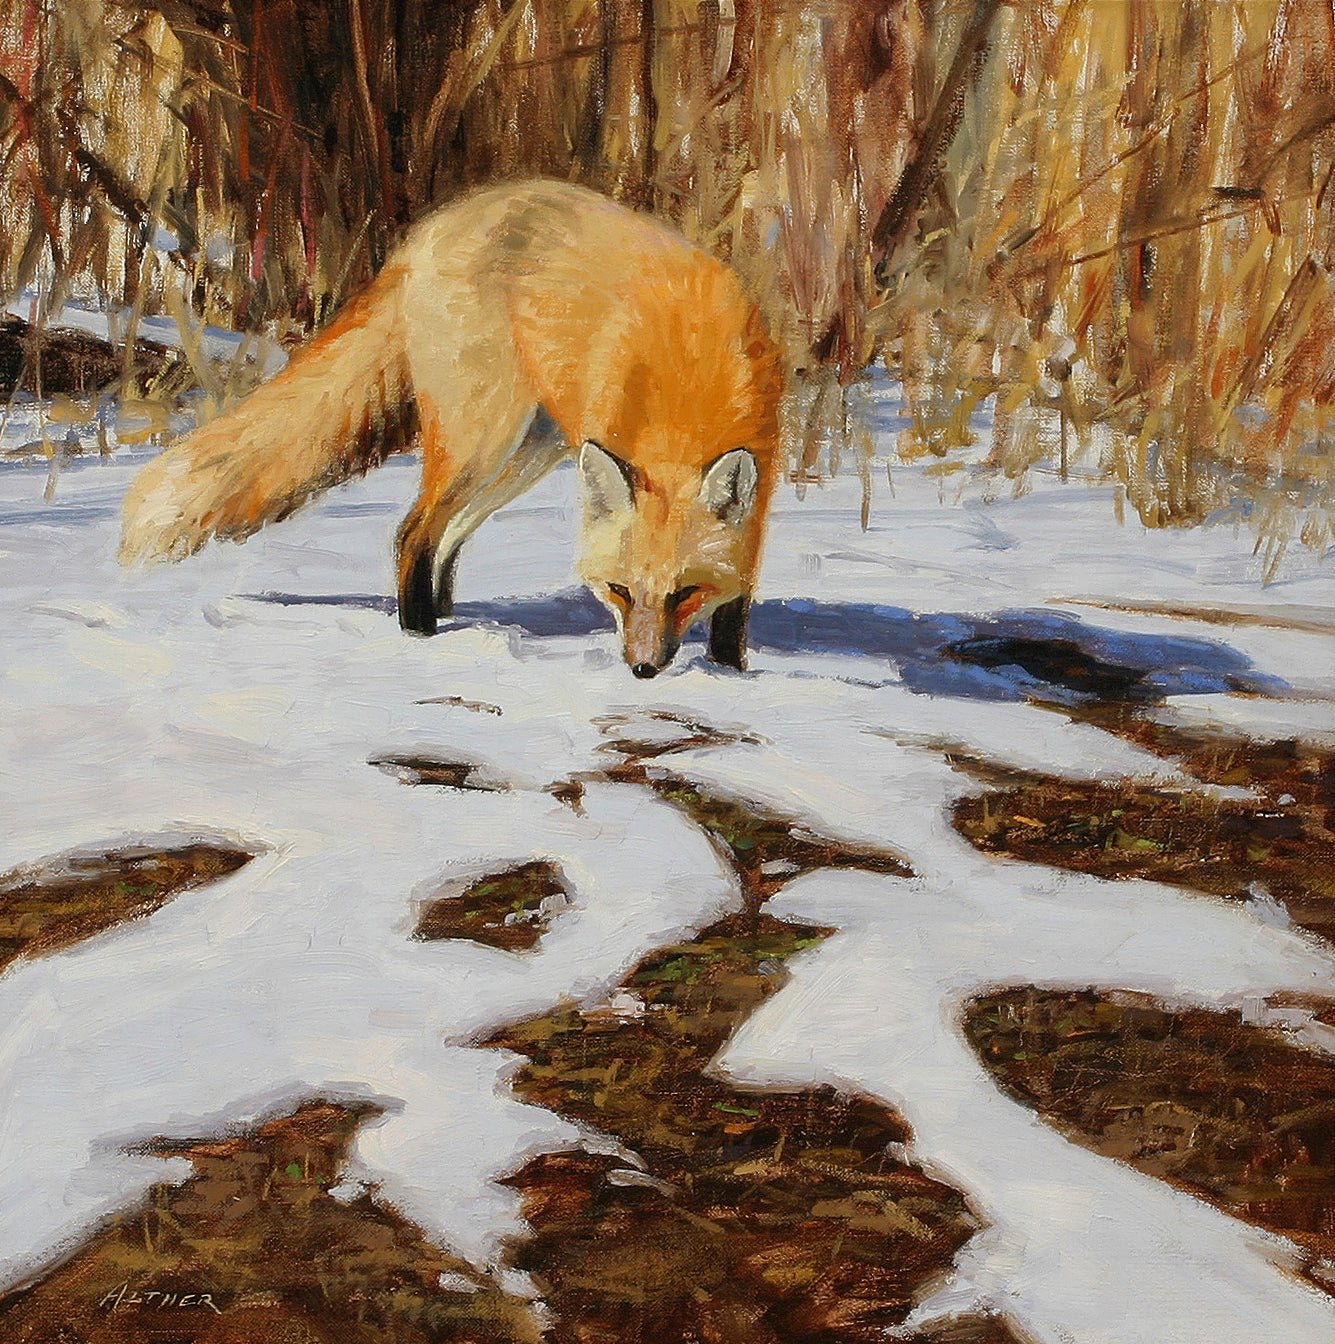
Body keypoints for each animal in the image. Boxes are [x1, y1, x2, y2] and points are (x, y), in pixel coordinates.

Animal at [119, 180, 783, 677]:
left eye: (684, 593)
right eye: (619, 590)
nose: (642, 669)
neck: (686, 392)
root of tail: (424, 236)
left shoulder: (762, 485)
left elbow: (739, 599)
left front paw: (729, 672)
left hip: (526, 452)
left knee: (447, 536)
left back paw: (448, 617)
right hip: (483, 440)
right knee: (414, 532)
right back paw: (421, 637)